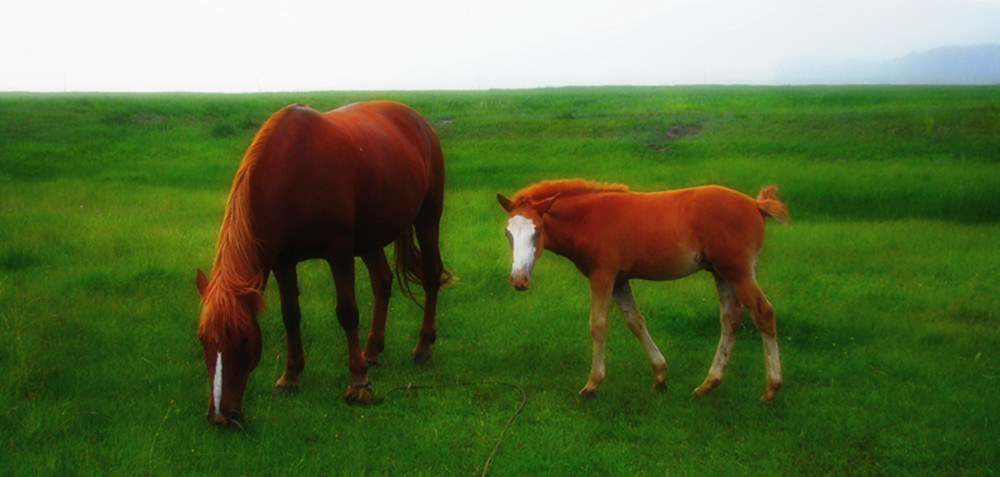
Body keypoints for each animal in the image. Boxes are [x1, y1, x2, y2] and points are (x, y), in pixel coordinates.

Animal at [197, 101, 448, 428]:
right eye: (202, 340)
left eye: (242, 340)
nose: (220, 416)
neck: (293, 171)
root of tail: (420, 121)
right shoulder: (283, 261)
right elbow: (291, 316)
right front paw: (290, 376)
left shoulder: (338, 250)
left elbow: (348, 313)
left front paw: (358, 383)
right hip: (370, 237)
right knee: (382, 282)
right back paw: (372, 351)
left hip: (428, 217)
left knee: (431, 277)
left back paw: (423, 347)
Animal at [500, 180, 788, 400]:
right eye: (508, 234)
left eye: (537, 231)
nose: (519, 279)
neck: (587, 220)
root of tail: (755, 204)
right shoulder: (619, 280)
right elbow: (635, 322)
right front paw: (660, 376)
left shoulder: (603, 274)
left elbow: (598, 325)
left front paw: (592, 385)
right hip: (721, 272)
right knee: (731, 318)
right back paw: (707, 385)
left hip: (738, 271)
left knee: (763, 313)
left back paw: (772, 388)